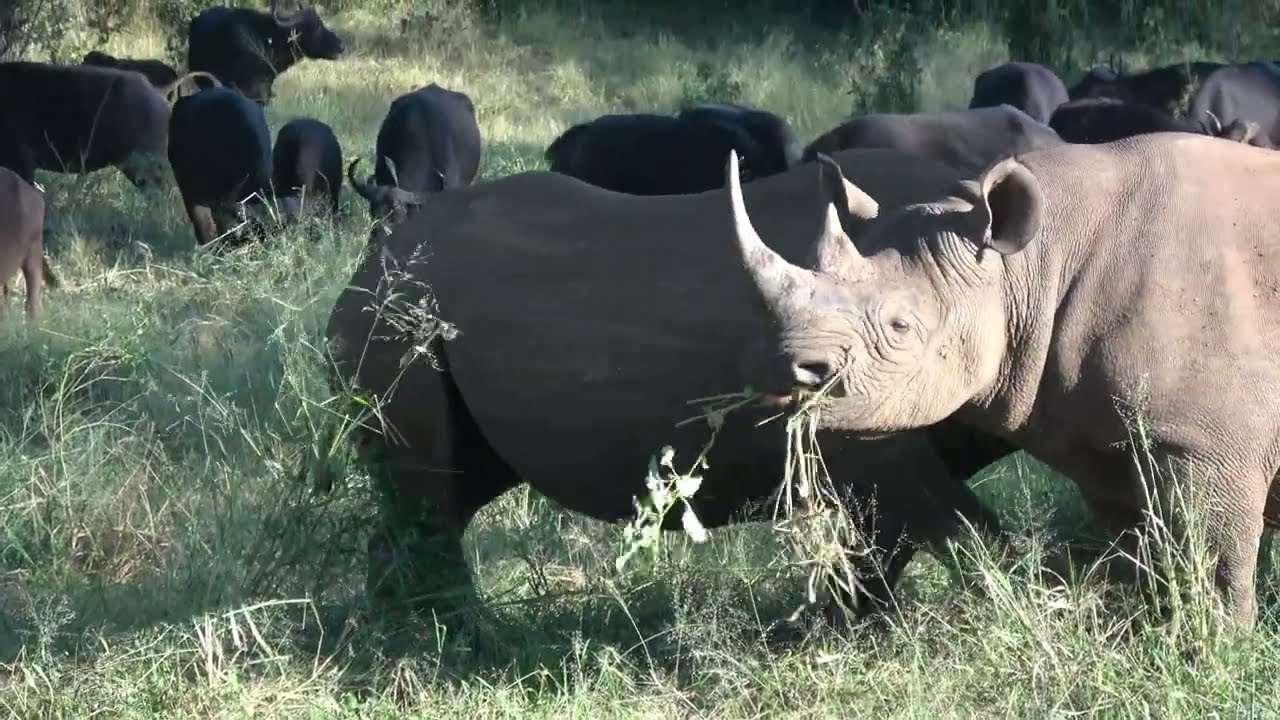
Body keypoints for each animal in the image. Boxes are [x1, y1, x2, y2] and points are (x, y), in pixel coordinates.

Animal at [321, 148, 1011, 623]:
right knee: (430, 493)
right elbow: (967, 532)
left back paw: (413, 633)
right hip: (393, 320)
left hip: (416, 316)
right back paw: (459, 640)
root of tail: (361, 274)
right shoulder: (881, 435)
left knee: (448, 491)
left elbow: (895, 543)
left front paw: (850, 623)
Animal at [725, 134, 1280, 628]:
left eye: (901, 327)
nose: (780, 371)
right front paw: (1157, 631)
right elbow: (1149, 553)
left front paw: (1215, 643)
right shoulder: (1109, 444)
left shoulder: (1205, 442)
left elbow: (1216, 562)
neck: (1031, 265)